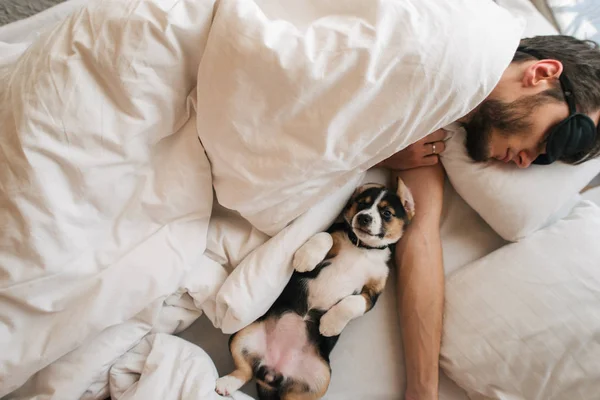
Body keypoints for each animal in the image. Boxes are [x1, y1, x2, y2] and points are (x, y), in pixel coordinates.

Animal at [213, 177, 414, 398]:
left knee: (284, 392)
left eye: (387, 213)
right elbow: (324, 236)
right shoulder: (332, 236)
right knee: (245, 370)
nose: (363, 218)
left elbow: (352, 303)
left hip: (320, 380)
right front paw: (305, 258)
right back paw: (226, 383)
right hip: (242, 336)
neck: (363, 248)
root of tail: (272, 371)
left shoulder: (373, 292)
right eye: (362, 203)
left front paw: (330, 324)